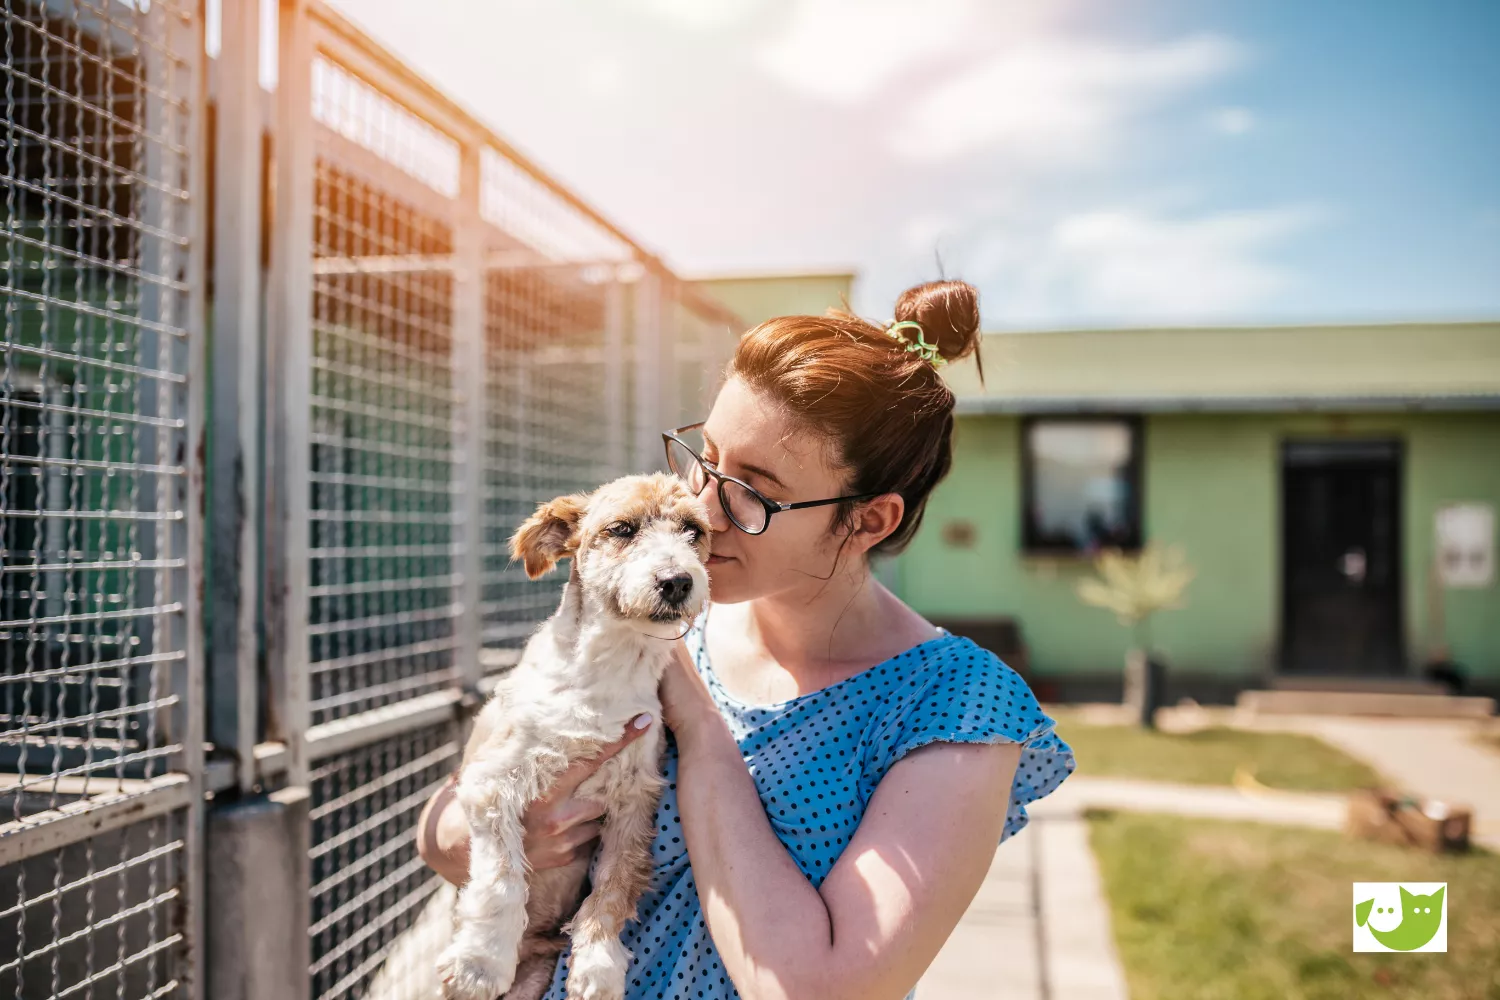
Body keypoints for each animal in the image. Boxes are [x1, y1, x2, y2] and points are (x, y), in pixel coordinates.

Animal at [438, 470, 711, 1000]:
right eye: (622, 529)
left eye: (694, 531)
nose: (676, 580)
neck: (608, 673)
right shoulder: (491, 781)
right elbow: (502, 876)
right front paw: (481, 961)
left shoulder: (635, 799)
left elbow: (613, 886)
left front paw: (599, 965)